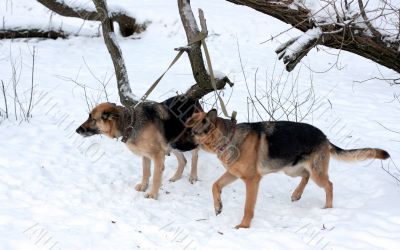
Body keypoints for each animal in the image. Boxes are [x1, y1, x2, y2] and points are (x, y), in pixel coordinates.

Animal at [186, 109, 390, 229]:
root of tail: (324, 137)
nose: (177, 146)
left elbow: (248, 208)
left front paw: (244, 226)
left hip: (316, 173)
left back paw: (328, 208)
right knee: (305, 176)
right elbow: (215, 185)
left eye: (191, 133)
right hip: (291, 170)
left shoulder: (252, 181)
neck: (228, 138)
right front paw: (218, 206)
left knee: (329, 184)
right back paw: (297, 194)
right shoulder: (233, 174)